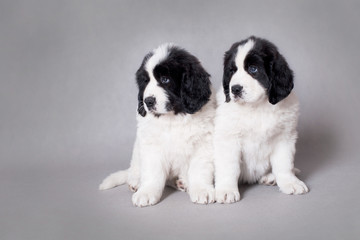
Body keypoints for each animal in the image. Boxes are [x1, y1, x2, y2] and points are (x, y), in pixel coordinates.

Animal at [100, 43, 215, 206]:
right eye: (145, 81)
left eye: (165, 79)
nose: (147, 101)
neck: (174, 117)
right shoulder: (152, 145)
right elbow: (153, 172)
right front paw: (146, 192)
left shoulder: (203, 143)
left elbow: (199, 169)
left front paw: (201, 190)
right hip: (137, 151)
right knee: (135, 169)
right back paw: (136, 182)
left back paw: (182, 182)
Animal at [214, 36, 310, 203]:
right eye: (232, 71)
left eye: (253, 69)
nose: (235, 89)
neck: (257, 107)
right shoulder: (228, 138)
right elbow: (229, 166)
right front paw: (226, 190)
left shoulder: (284, 137)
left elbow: (284, 163)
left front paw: (290, 182)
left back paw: (270, 177)